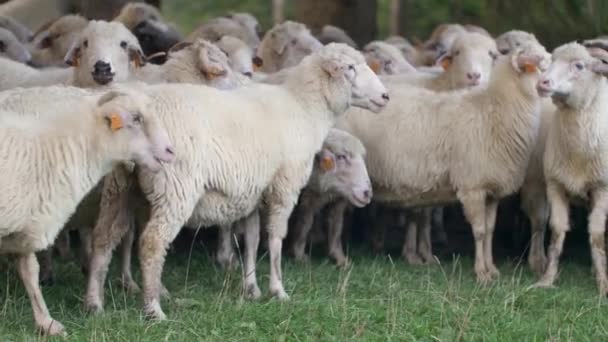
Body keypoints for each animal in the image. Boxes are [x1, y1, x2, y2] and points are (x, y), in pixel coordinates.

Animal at [83, 43, 390, 320]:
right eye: (350, 68)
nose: (386, 96)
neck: (304, 109)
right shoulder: (284, 186)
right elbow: (275, 239)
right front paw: (278, 290)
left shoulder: (254, 191)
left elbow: (252, 239)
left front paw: (251, 288)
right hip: (176, 188)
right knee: (151, 243)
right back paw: (153, 309)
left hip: (120, 187)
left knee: (103, 239)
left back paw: (95, 303)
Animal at [334, 40, 552, 282]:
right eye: (537, 64)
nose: (548, 84)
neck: (495, 110)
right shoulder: (472, 186)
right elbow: (479, 231)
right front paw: (481, 273)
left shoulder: (491, 190)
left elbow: (490, 231)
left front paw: (492, 269)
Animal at [532, 42, 608, 294]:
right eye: (552, 61)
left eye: (579, 66)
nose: (542, 83)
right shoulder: (555, 185)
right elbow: (556, 231)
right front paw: (547, 280)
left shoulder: (603, 189)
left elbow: (596, 235)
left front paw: (603, 285)